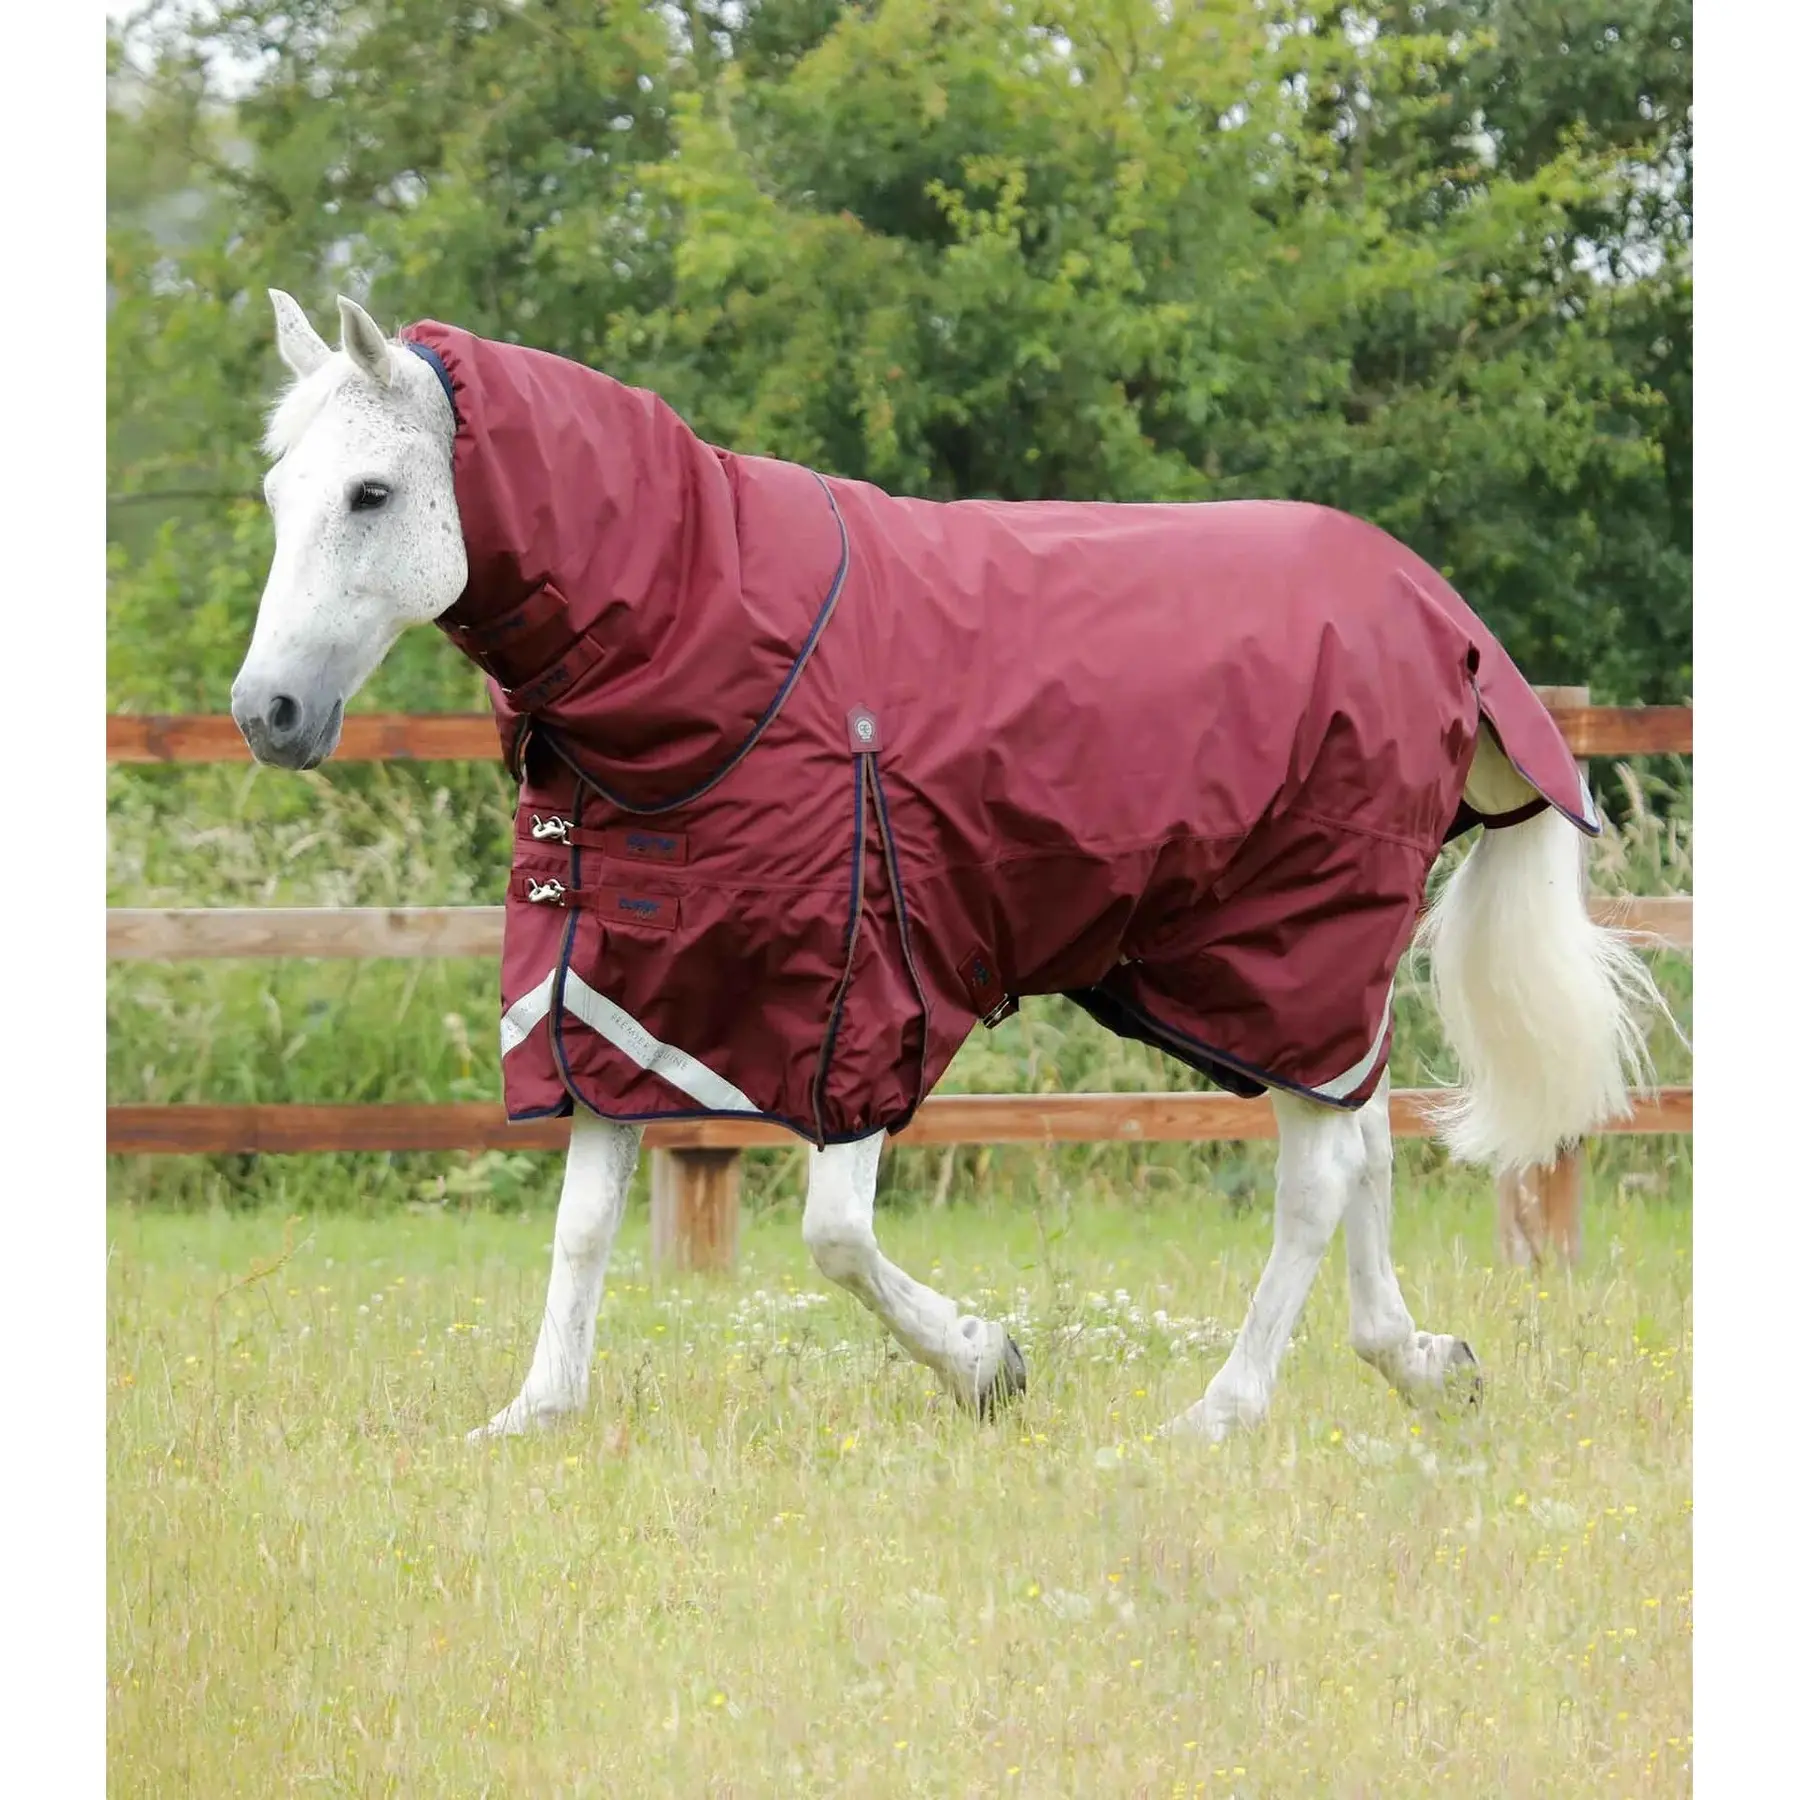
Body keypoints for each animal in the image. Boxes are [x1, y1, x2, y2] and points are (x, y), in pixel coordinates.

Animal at [232, 290, 1663, 1443]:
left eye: (371, 494)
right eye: (278, 499)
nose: (268, 714)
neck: (716, 646)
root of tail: (1447, 619)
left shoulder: (859, 998)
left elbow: (833, 1237)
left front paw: (986, 1364)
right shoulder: (617, 988)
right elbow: (585, 1219)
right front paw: (537, 1412)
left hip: (1305, 936)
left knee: (1315, 1179)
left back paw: (1224, 1411)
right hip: (1267, 971)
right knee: (1359, 1134)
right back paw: (1421, 1364)